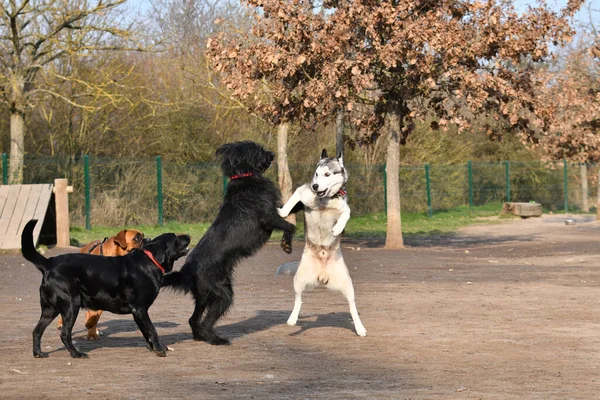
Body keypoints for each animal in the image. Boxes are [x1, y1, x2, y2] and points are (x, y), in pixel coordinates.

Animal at [21, 219, 190, 360]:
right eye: (176, 238)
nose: (188, 235)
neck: (150, 260)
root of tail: (48, 263)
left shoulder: (139, 313)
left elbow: (146, 332)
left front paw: (154, 347)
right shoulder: (140, 310)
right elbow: (152, 330)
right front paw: (159, 349)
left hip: (50, 310)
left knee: (37, 330)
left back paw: (38, 353)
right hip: (70, 306)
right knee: (64, 334)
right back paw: (76, 354)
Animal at [163, 140, 296, 344]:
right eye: (258, 150)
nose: (273, 154)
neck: (244, 177)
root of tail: (187, 270)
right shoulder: (268, 217)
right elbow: (290, 226)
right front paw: (286, 244)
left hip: (205, 296)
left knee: (193, 319)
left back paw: (200, 337)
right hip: (222, 295)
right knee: (205, 322)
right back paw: (216, 339)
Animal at [276, 148, 366, 336]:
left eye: (327, 174)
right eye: (316, 174)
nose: (316, 186)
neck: (325, 200)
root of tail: (323, 276)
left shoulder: (344, 207)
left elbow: (346, 213)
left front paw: (338, 228)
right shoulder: (302, 191)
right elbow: (291, 202)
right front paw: (282, 211)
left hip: (348, 285)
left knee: (352, 306)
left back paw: (360, 328)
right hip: (299, 279)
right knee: (299, 299)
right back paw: (293, 320)